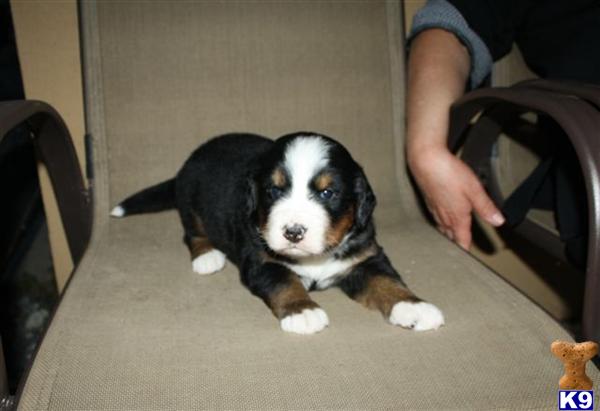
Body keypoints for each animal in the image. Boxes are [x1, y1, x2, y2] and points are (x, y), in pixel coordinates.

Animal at [110, 134, 442, 336]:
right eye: (273, 190)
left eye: (327, 193)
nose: (293, 232)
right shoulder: (262, 261)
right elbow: (286, 282)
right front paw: (303, 311)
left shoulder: (364, 257)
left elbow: (386, 281)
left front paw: (414, 306)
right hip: (191, 204)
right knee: (193, 234)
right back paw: (207, 257)